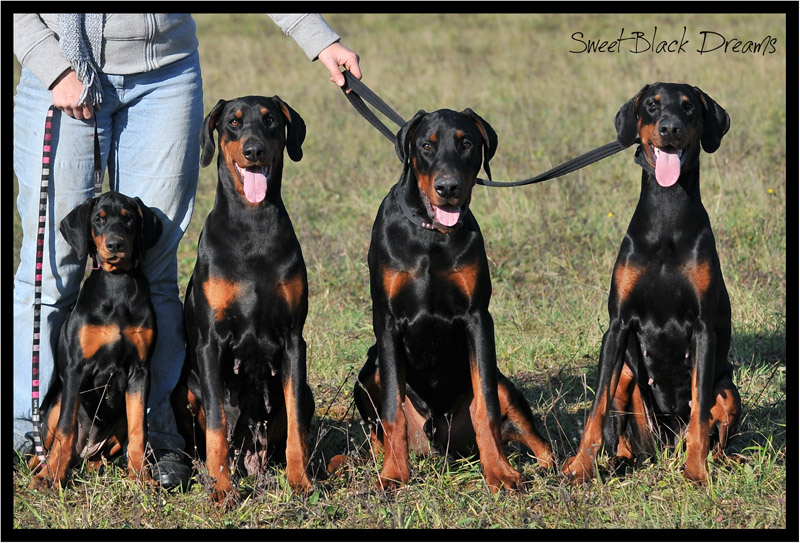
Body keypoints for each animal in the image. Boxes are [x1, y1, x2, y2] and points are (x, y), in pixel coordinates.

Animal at [29, 192, 162, 489]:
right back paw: (42, 469)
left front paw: (141, 477)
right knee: (45, 446)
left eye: (129, 218)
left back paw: (96, 466)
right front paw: (52, 476)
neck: (117, 284)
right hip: (54, 405)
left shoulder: (140, 371)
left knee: (97, 455)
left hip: (118, 418)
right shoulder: (77, 369)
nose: (115, 244)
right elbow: (65, 430)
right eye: (98, 220)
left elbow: (139, 431)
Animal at [172, 96, 313, 504]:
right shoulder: (210, 342)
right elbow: (217, 425)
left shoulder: (293, 339)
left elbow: (296, 424)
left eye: (270, 120)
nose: (254, 150)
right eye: (233, 123)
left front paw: (301, 481)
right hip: (184, 390)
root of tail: (249, 453)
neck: (253, 225)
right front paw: (222, 489)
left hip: (306, 392)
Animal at [353, 108, 554, 492]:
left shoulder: (477, 317)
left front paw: (500, 473)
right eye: (426, 145)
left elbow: (486, 408)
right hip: (368, 371)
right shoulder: (387, 322)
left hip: (505, 387)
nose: (448, 188)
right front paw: (394, 473)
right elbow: (391, 411)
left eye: (466, 143)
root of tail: (436, 438)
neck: (431, 236)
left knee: (537, 441)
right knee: (378, 429)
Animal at [562, 83, 741, 485]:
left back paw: (720, 460)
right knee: (625, 439)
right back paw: (616, 462)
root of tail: (666, 440)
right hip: (628, 381)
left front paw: (696, 472)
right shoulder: (618, 325)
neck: (666, 213)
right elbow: (595, 410)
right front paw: (579, 468)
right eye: (652, 106)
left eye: (688, 107)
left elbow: (699, 410)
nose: (670, 128)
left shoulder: (703, 327)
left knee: (714, 431)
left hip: (728, 389)